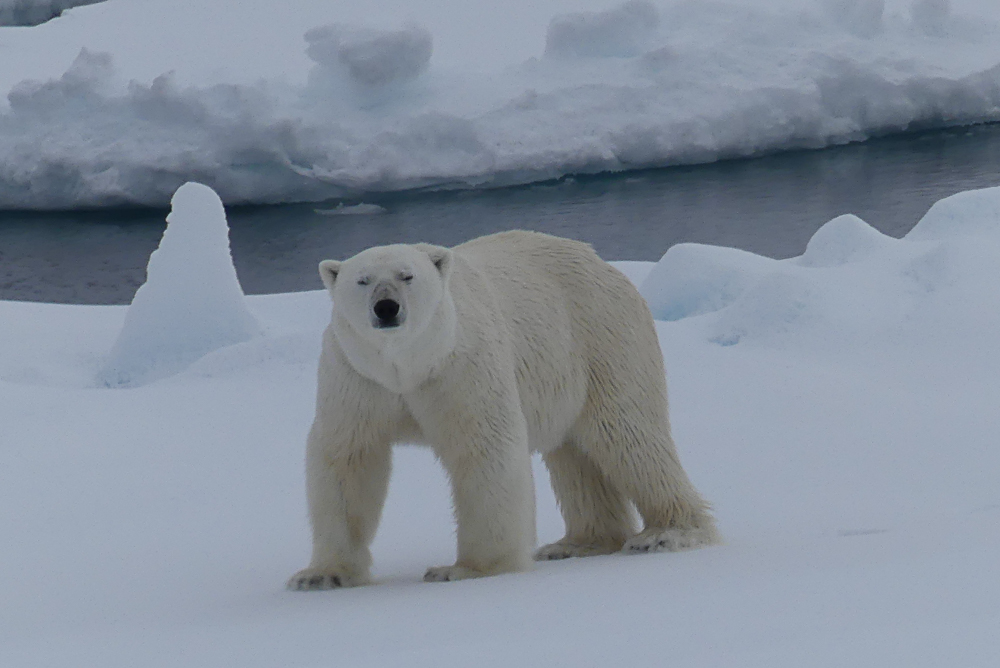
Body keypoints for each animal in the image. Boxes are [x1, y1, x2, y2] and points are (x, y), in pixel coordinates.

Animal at [286, 230, 716, 588]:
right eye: (362, 281)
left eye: (407, 276)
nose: (387, 307)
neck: (408, 368)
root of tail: (604, 264)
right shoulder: (357, 380)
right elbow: (347, 460)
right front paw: (321, 575)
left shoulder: (461, 367)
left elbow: (484, 448)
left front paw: (465, 569)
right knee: (574, 455)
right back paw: (578, 543)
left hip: (602, 341)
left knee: (629, 436)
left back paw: (665, 533)